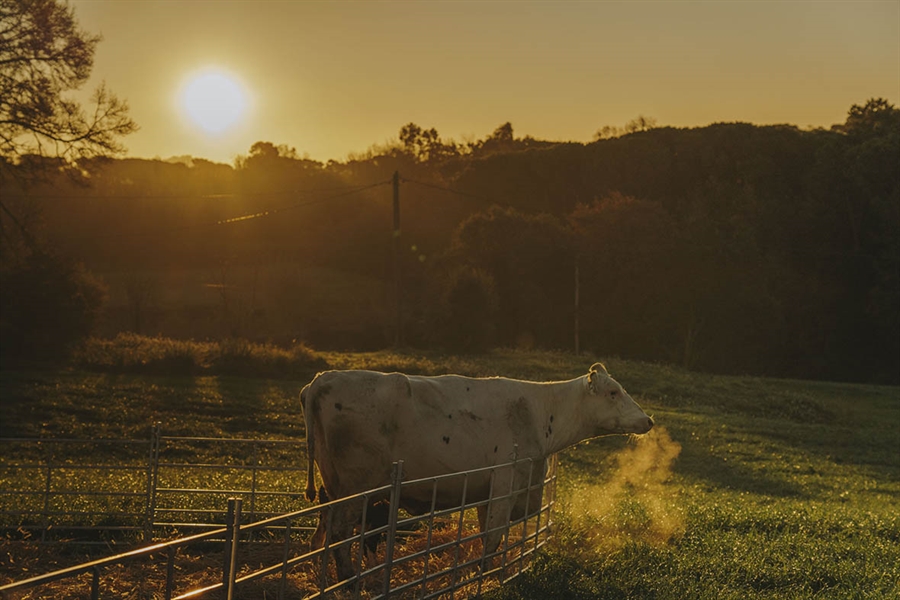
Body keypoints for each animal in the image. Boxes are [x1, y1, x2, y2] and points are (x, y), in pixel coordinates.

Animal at [302, 360, 652, 576]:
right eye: (613, 392)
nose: (648, 420)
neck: (538, 412)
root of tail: (322, 379)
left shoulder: (491, 489)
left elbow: (488, 532)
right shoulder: (505, 482)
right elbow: (494, 534)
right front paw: (485, 574)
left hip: (333, 485)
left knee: (325, 528)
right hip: (356, 488)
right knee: (340, 531)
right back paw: (349, 578)